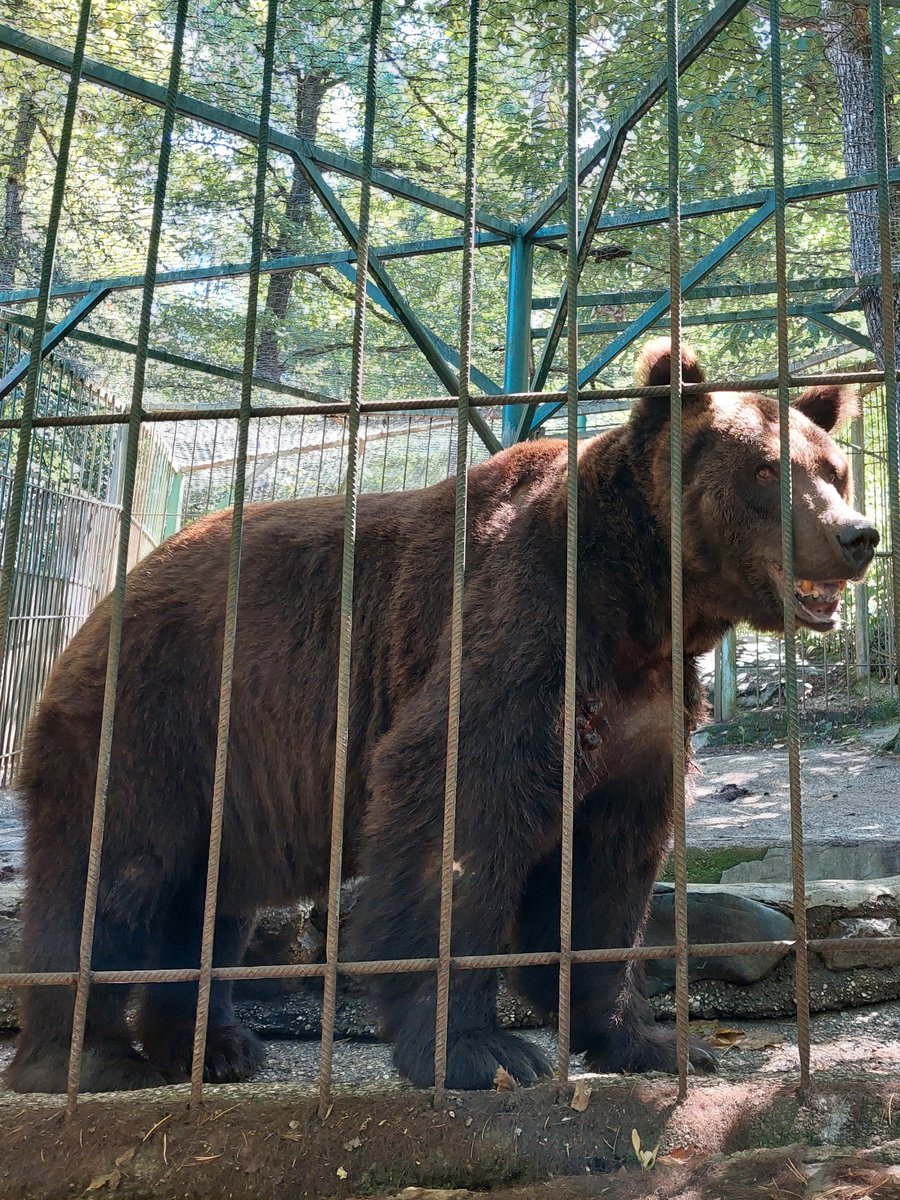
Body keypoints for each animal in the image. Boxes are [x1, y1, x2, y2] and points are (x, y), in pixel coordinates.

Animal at [6, 338, 878, 1094]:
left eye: (834, 468)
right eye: (767, 469)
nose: (857, 534)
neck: (638, 605)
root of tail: (101, 603)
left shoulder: (645, 713)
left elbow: (611, 870)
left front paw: (655, 1040)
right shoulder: (518, 633)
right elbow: (458, 822)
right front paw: (483, 1051)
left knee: (208, 901)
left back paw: (214, 1046)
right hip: (153, 717)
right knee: (110, 877)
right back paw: (87, 1059)